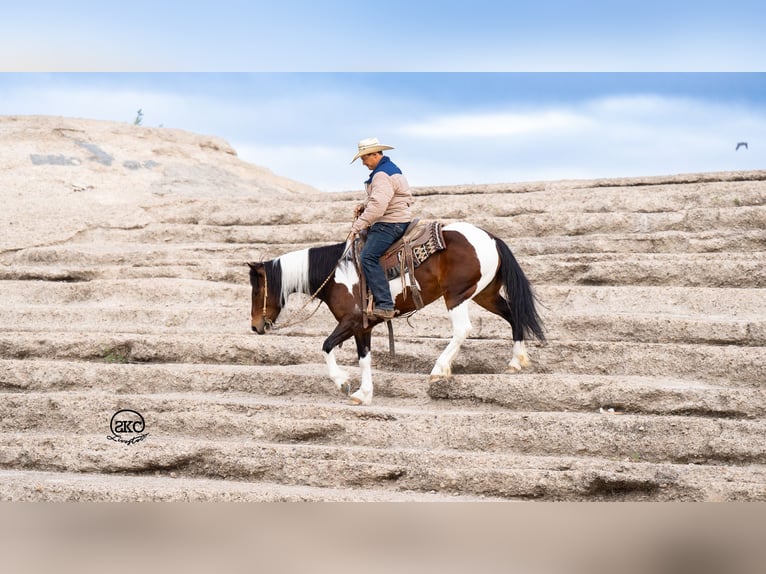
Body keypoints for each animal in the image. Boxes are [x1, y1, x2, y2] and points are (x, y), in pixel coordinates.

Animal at [249, 223, 544, 408]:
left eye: (257, 288)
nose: (255, 327)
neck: (335, 275)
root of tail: (491, 237)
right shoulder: (363, 327)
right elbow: (364, 358)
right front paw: (363, 394)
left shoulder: (351, 321)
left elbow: (327, 346)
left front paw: (344, 383)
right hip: (485, 294)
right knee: (514, 316)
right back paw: (516, 362)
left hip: (456, 295)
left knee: (463, 329)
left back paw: (439, 369)